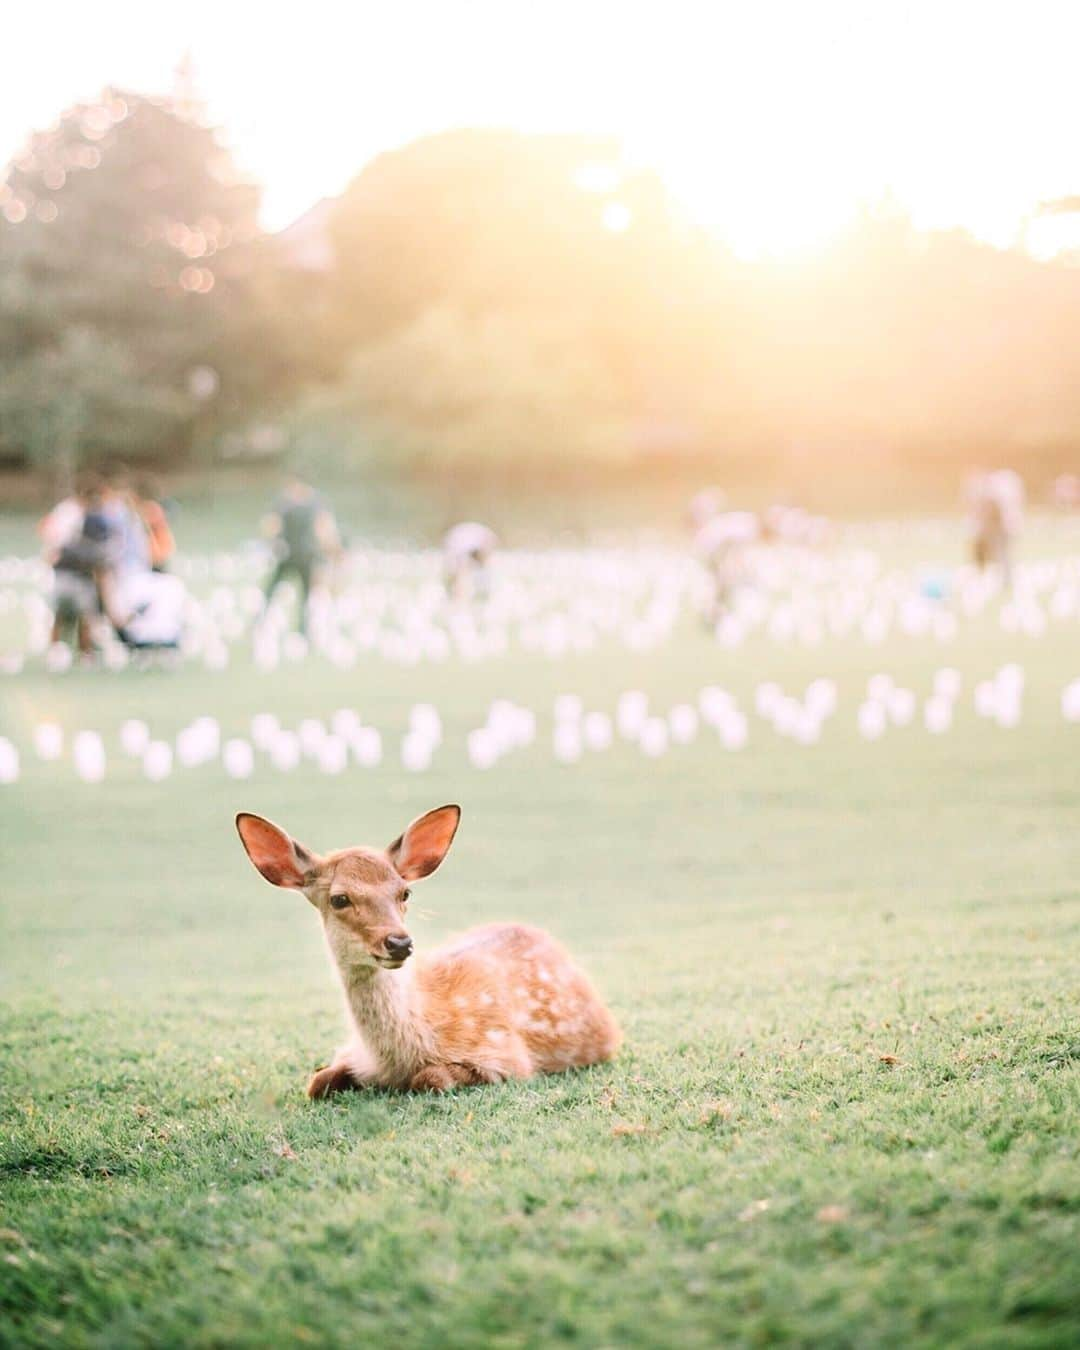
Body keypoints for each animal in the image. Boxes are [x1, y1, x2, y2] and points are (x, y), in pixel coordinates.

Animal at [236, 799, 623, 1096]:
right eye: (339, 899)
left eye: (404, 892)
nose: (399, 942)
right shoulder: (349, 1052)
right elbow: (317, 1082)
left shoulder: (507, 1056)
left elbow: (431, 1077)